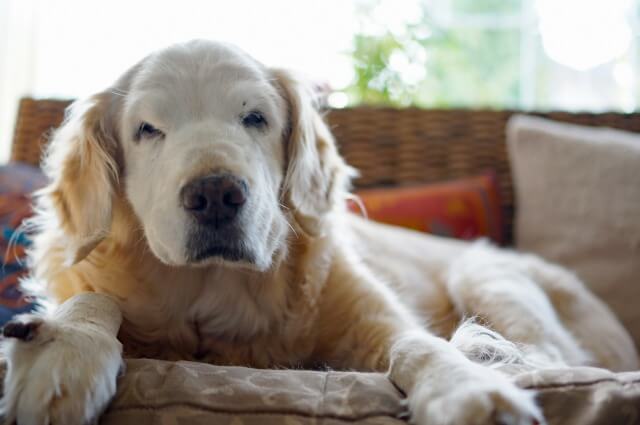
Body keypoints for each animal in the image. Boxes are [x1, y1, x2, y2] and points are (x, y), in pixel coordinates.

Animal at [0, 41, 636, 424]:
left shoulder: (375, 316)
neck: (213, 293)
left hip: (485, 272)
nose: (216, 195)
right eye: (147, 129)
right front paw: (63, 351)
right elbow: (93, 301)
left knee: (545, 352)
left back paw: (486, 352)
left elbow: (417, 344)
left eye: (256, 118)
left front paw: (465, 388)